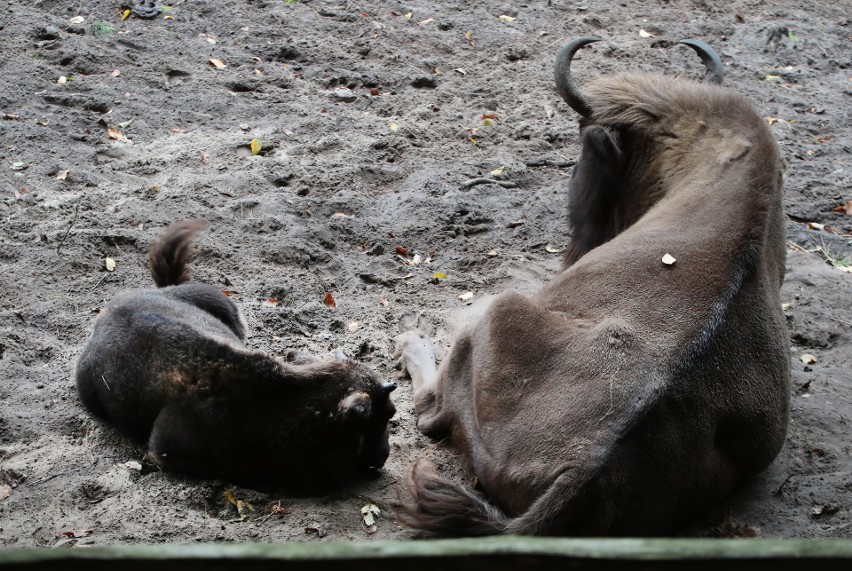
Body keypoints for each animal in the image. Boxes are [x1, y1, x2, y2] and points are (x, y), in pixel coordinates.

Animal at [396, 38, 788, 536]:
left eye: (585, 155)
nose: (577, 242)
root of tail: (584, 467)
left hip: (500, 314)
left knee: (429, 409)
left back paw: (409, 340)